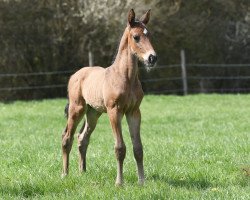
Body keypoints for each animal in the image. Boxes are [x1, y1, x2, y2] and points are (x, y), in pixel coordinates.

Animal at [61, 8, 156, 185]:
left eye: (150, 35)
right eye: (136, 37)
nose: (152, 58)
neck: (125, 77)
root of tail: (75, 75)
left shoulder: (134, 112)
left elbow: (138, 148)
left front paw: (141, 181)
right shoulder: (114, 111)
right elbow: (120, 148)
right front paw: (119, 183)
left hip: (93, 113)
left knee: (82, 138)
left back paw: (82, 171)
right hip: (77, 109)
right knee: (67, 138)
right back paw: (65, 174)